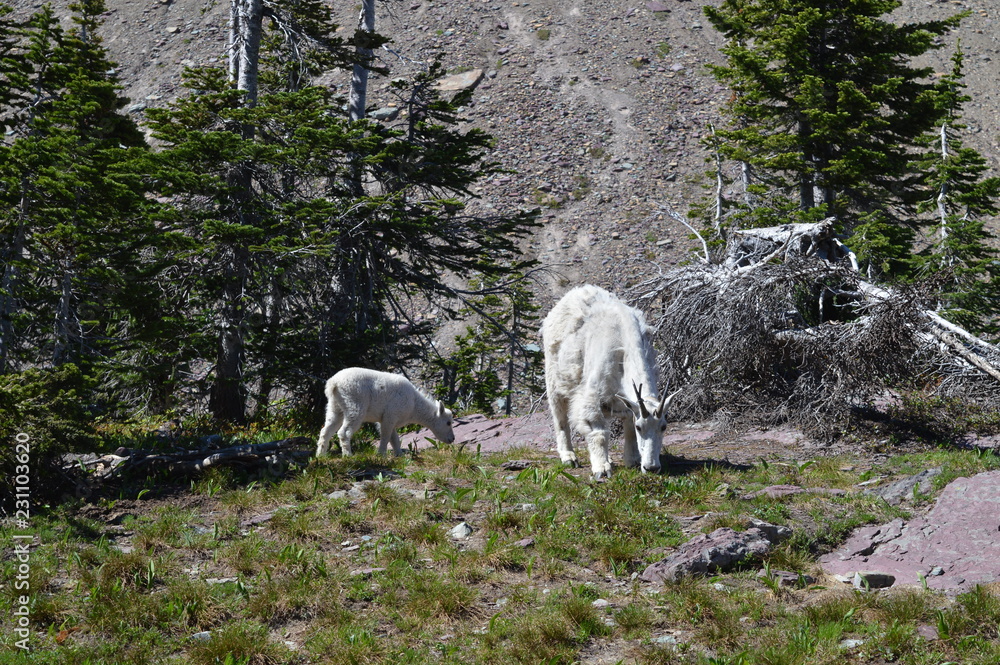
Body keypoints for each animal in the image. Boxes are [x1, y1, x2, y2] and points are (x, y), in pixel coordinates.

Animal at [315, 367, 455, 457]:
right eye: (448, 423)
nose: (452, 439)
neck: (414, 404)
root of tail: (333, 383)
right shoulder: (390, 415)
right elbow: (386, 436)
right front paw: (381, 454)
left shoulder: (388, 419)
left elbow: (394, 438)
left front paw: (399, 454)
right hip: (354, 404)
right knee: (344, 431)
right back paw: (348, 455)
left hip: (335, 406)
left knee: (326, 430)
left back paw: (320, 455)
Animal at [540, 285, 677, 478]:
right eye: (640, 427)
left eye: (664, 427)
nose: (652, 468)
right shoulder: (592, 394)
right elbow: (598, 431)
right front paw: (602, 468)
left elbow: (627, 426)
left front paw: (632, 461)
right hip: (554, 378)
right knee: (560, 417)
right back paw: (569, 457)